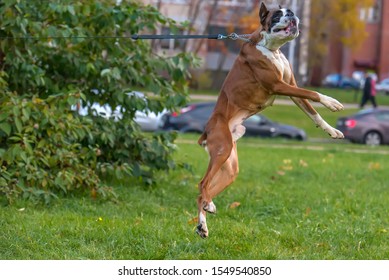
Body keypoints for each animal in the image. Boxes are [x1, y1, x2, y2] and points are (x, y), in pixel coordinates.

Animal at [196, 2, 344, 238]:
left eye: (288, 11)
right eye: (277, 15)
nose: (291, 13)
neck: (271, 48)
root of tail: (207, 130)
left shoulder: (292, 89)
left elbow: (313, 112)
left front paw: (331, 130)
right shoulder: (279, 85)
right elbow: (312, 92)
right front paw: (331, 101)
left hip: (229, 167)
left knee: (204, 191)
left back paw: (205, 219)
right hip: (222, 149)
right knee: (202, 184)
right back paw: (205, 214)